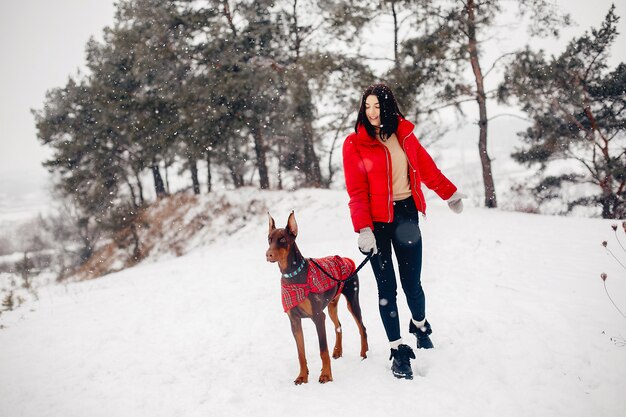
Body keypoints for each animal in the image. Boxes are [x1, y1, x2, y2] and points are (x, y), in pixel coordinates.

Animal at [264, 211, 366, 384]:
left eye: (283, 239)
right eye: (269, 239)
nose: (268, 254)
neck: (293, 275)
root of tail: (344, 258)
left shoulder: (318, 317)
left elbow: (322, 349)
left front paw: (326, 375)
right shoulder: (294, 321)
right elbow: (300, 353)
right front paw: (302, 376)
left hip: (352, 301)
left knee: (362, 328)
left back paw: (364, 354)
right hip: (332, 305)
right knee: (338, 325)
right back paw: (337, 351)